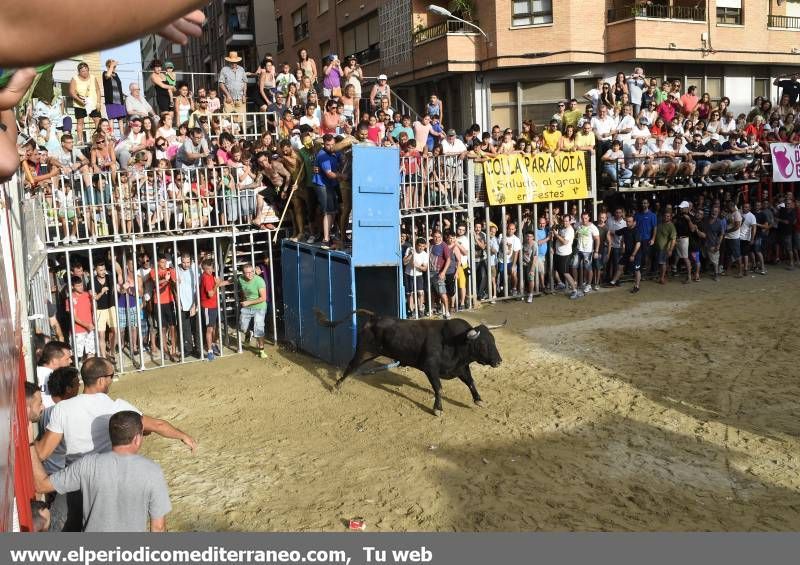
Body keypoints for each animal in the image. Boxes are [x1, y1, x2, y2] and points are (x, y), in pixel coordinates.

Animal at [310, 308, 500, 414]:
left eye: (493, 340)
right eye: (482, 344)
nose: (498, 362)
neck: (454, 341)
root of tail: (375, 317)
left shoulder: (461, 368)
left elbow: (471, 382)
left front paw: (479, 400)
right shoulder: (430, 368)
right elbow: (439, 388)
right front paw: (438, 409)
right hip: (364, 351)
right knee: (351, 366)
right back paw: (337, 386)